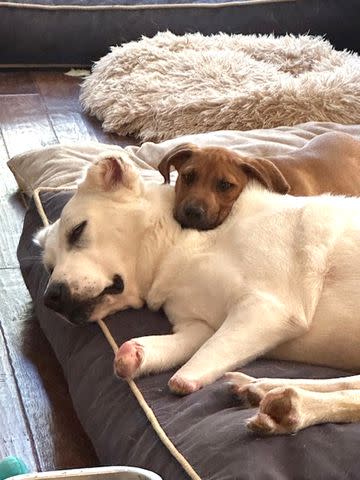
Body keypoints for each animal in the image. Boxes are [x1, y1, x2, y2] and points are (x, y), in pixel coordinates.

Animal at [37, 155, 360, 436]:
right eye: (49, 267)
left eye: (77, 231)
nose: (50, 298)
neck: (179, 247)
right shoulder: (197, 326)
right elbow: (186, 344)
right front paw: (136, 354)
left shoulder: (267, 308)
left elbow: (206, 354)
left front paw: (184, 379)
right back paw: (259, 387)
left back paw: (289, 404)